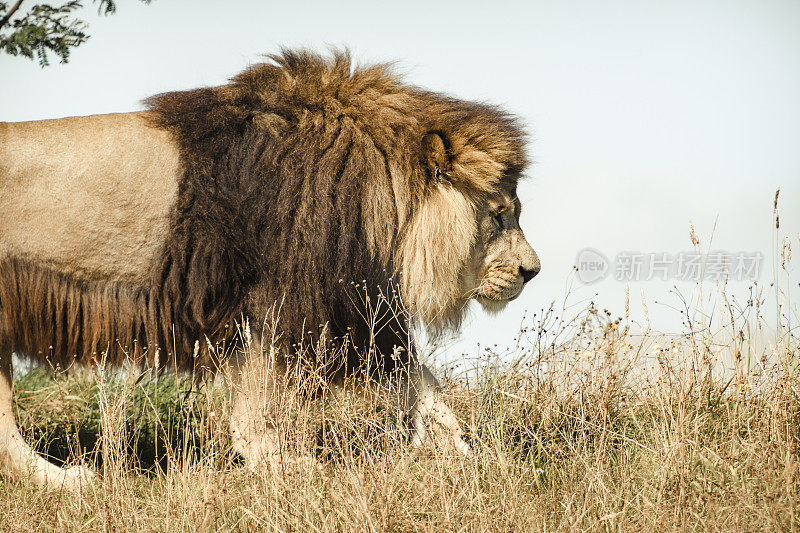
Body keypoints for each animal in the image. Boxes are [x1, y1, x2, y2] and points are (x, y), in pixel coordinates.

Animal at [0, 47, 540, 488]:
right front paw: (278, 464)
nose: (531, 272)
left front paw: (472, 457)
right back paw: (67, 481)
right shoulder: (284, 304)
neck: (379, 196)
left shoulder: (346, 312)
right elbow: (257, 402)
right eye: (499, 214)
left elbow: (421, 383)